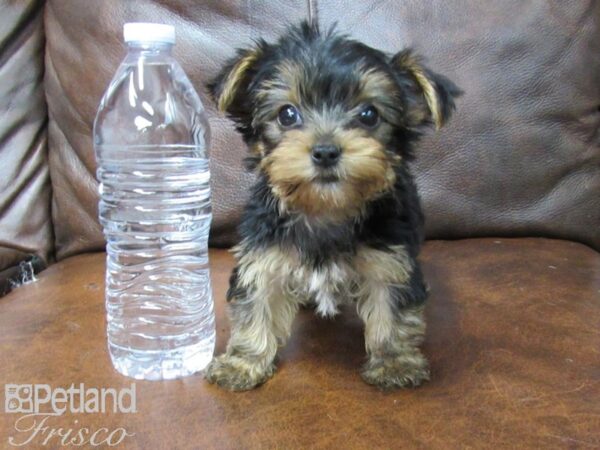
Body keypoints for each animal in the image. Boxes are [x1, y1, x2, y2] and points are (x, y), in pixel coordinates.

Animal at [205, 20, 460, 390]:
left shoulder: (390, 260)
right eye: (287, 114)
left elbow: (392, 309)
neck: (326, 209)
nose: (325, 151)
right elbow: (255, 305)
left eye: (369, 114)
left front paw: (394, 362)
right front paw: (243, 362)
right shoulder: (263, 256)